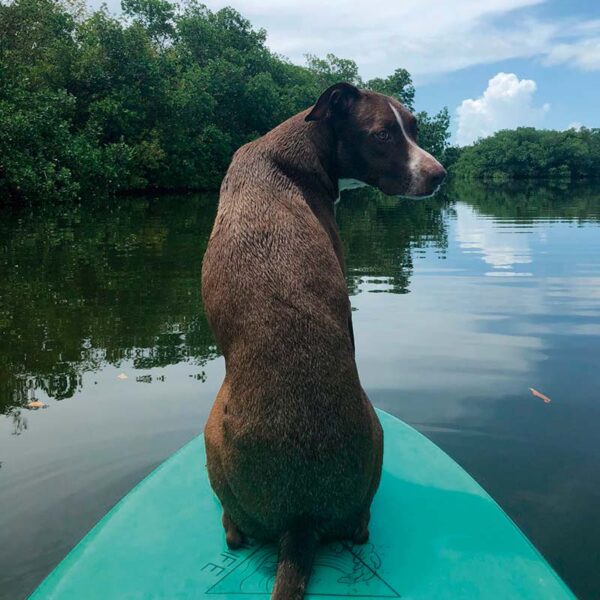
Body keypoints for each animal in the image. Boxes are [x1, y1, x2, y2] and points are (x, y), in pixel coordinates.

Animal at [202, 83, 446, 600]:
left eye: (414, 128)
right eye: (382, 134)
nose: (440, 175)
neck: (292, 154)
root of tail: (301, 522)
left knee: (237, 531)